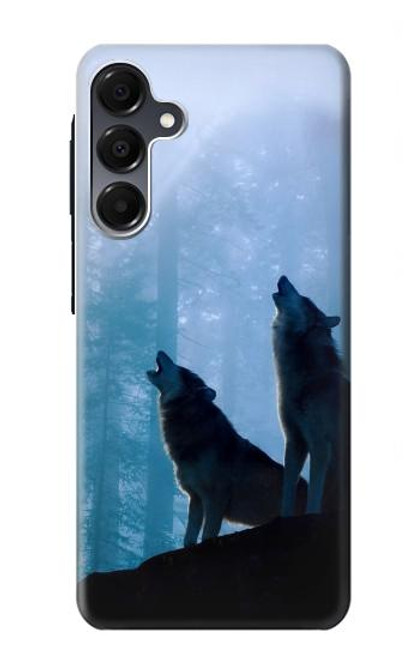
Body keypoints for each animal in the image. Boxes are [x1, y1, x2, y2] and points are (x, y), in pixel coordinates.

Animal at [147, 351, 307, 546]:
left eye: (182, 370)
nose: (161, 351)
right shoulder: (196, 499)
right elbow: (189, 539)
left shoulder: (216, 499)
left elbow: (207, 535)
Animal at [272, 276, 349, 516]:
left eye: (305, 299)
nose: (283, 277)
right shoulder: (294, 441)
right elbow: (287, 494)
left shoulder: (321, 446)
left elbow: (314, 497)